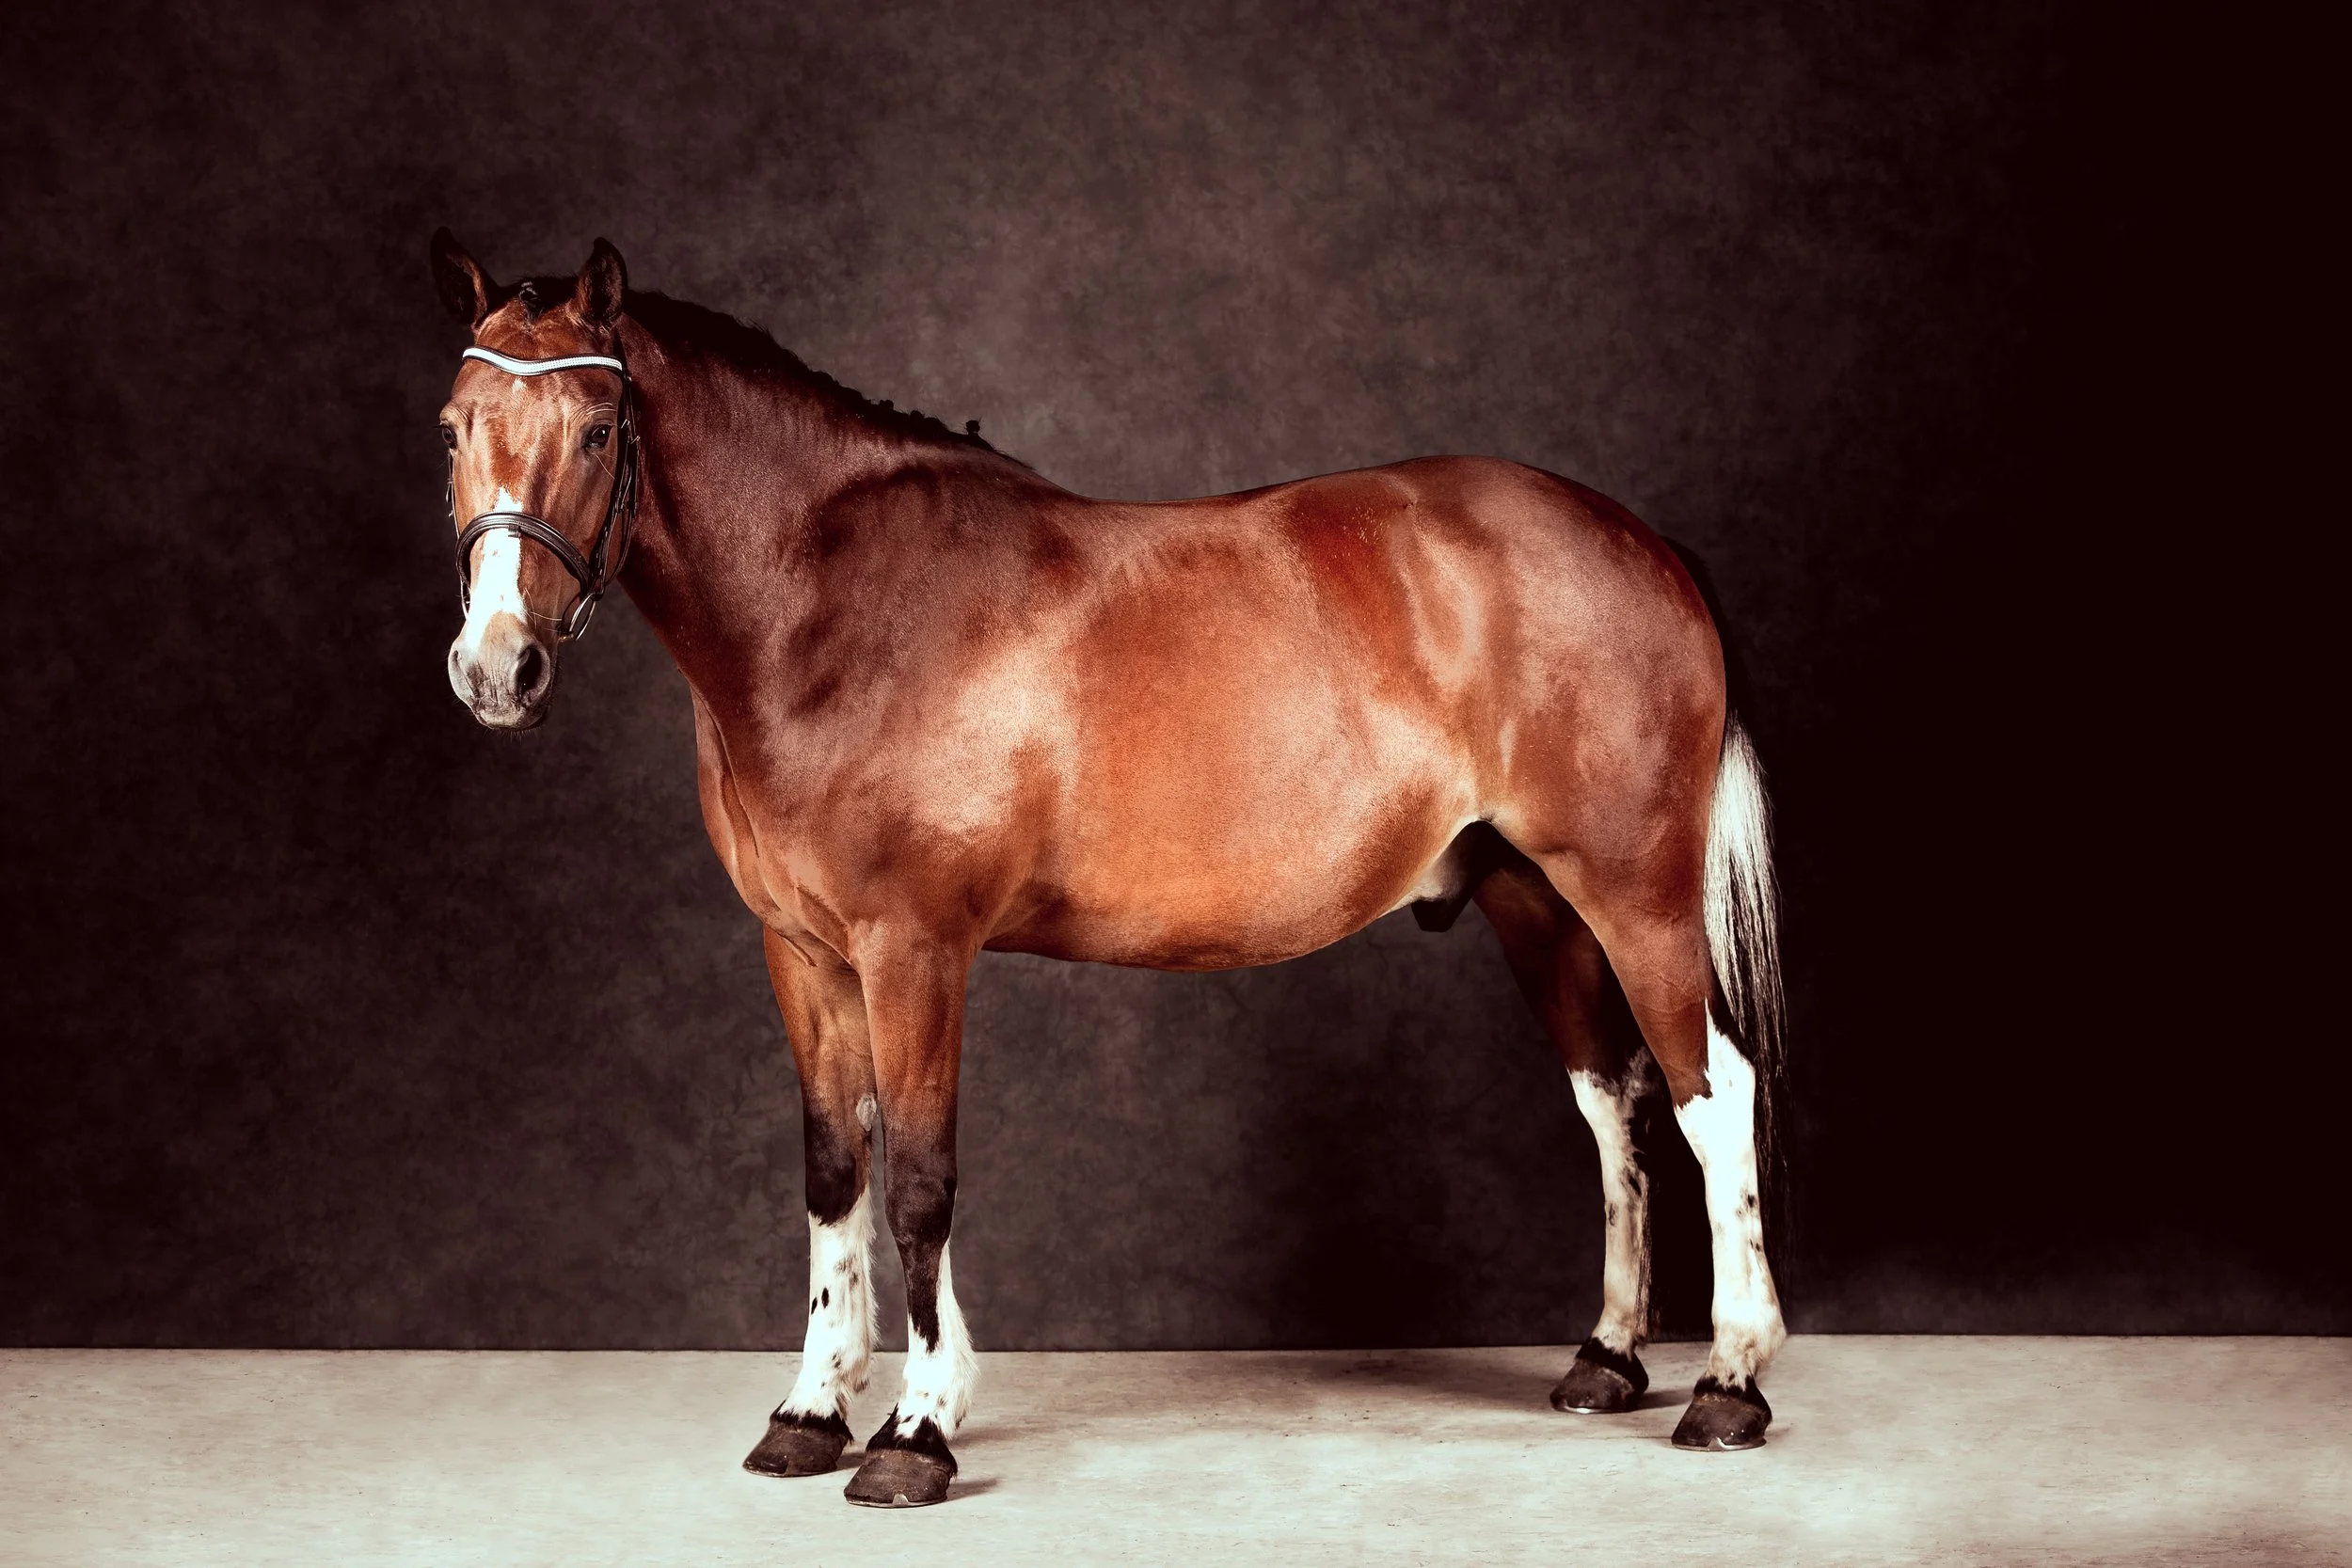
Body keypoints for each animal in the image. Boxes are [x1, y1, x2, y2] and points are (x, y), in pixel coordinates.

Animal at [428, 231, 1789, 1508]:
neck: (833, 610)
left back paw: (1728, 1380)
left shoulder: (916, 950)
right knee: (1612, 1099)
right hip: (1536, 904)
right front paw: (811, 1412)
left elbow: (918, 1181)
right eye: (453, 427)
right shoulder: (803, 952)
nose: (496, 669)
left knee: (1711, 1092)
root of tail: (1639, 541)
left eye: (597, 428)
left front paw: (915, 1429)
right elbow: (833, 1173)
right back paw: (1607, 1356)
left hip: (1637, 897)